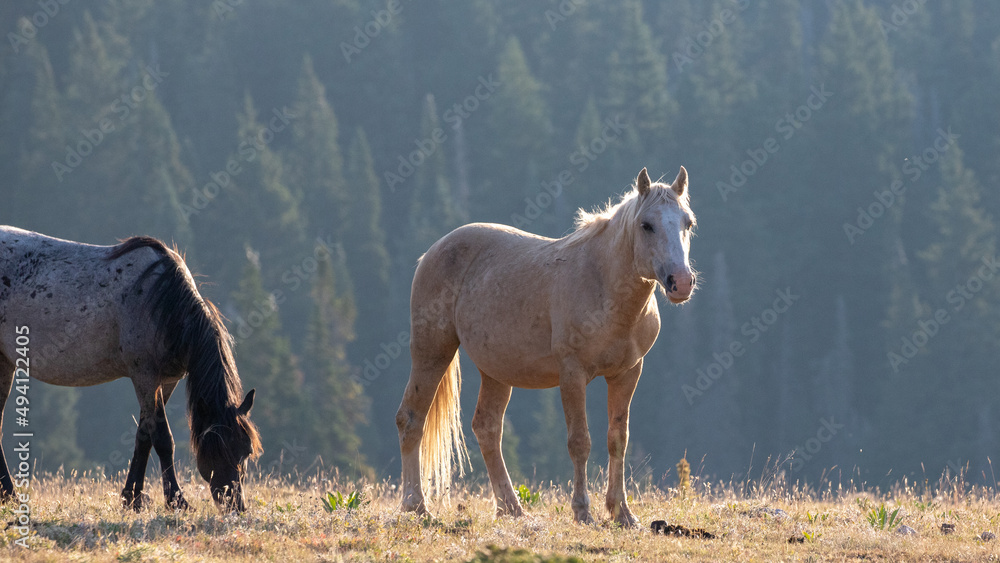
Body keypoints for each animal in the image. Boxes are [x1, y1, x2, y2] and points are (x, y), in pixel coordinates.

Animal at [0, 228, 262, 512]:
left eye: (246, 451)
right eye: (218, 450)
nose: (235, 505)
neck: (162, 304)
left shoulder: (165, 381)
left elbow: (144, 435)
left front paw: (132, 498)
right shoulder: (144, 377)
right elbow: (163, 438)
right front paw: (176, 500)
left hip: (4, 362)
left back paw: (8, 495)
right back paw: (10, 495)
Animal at [395, 167, 697, 527]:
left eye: (687, 223)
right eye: (646, 224)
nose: (681, 282)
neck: (602, 284)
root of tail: (433, 251)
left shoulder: (628, 373)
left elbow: (617, 439)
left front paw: (622, 512)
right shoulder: (572, 374)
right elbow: (580, 441)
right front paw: (582, 511)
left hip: (495, 370)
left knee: (487, 428)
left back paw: (511, 508)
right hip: (432, 351)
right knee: (411, 419)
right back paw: (416, 506)